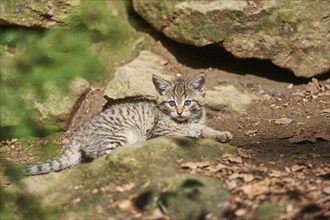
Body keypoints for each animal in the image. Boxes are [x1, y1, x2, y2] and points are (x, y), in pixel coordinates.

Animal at [25, 74, 232, 175]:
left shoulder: (198, 122)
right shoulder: (157, 133)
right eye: (172, 103)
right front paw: (191, 133)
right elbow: (180, 133)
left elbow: (205, 129)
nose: (179, 112)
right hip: (118, 135)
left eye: (188, 102)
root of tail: (78, 133)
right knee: (102, 158)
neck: (187, 120)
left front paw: (221, 134)